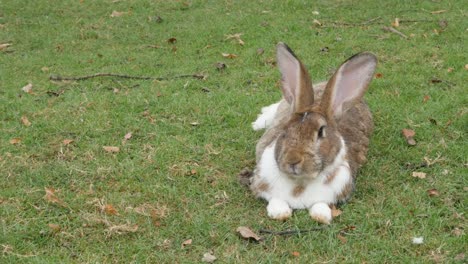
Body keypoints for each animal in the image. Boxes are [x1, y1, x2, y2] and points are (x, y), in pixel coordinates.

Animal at [249, 42, 376, 224]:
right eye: (284, 130)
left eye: (321, 132)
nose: (293, 160)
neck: (300, 183)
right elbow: (275, 200)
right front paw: (280, 212)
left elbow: (320, 205)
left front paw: (321, 216)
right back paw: (258, 122)